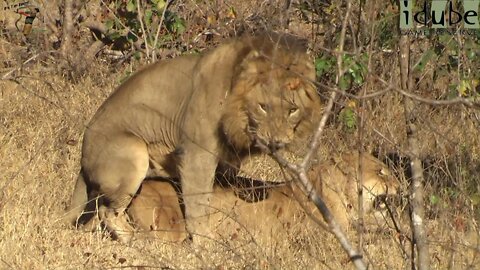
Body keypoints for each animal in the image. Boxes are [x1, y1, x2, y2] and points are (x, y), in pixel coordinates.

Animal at [62, 33, 318, 243]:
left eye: (292, 110)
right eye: (263, 107)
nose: (276, 142)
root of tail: (83, 160)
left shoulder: (228, 162)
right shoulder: (197, 155)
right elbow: (198, 206)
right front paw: (205, 245)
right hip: (134, 151)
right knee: (108, 211)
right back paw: (136, 242)